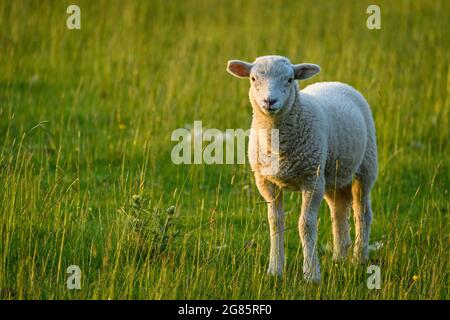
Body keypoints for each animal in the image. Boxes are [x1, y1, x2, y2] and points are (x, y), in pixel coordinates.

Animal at [227, 55, 378, 282]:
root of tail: (336, 83)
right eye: (253, 79)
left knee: (362, 212)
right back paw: (340, 256)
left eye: (290, 79)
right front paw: (275, 269)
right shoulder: (266, 182)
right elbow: (275, 223)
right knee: (339, 211)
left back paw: (359, 257)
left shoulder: (311, 180)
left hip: (366, 166)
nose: (269, 101)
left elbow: (306, 225)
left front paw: (311, 274)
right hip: (331, 175)